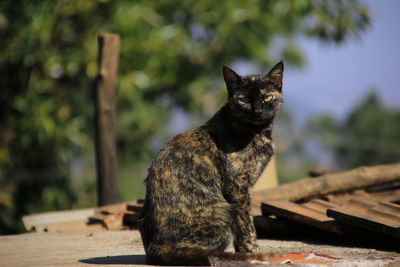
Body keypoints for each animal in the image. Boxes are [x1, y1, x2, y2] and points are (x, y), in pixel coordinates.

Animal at [139, 61, 282, 266]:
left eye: (267, 97)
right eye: (244, 100)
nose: (257, 111)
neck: (258, 132)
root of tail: (155, 248)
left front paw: (245, 251)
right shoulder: (237, 187)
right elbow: (246, 223)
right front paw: (252, 252)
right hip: (224, 212)